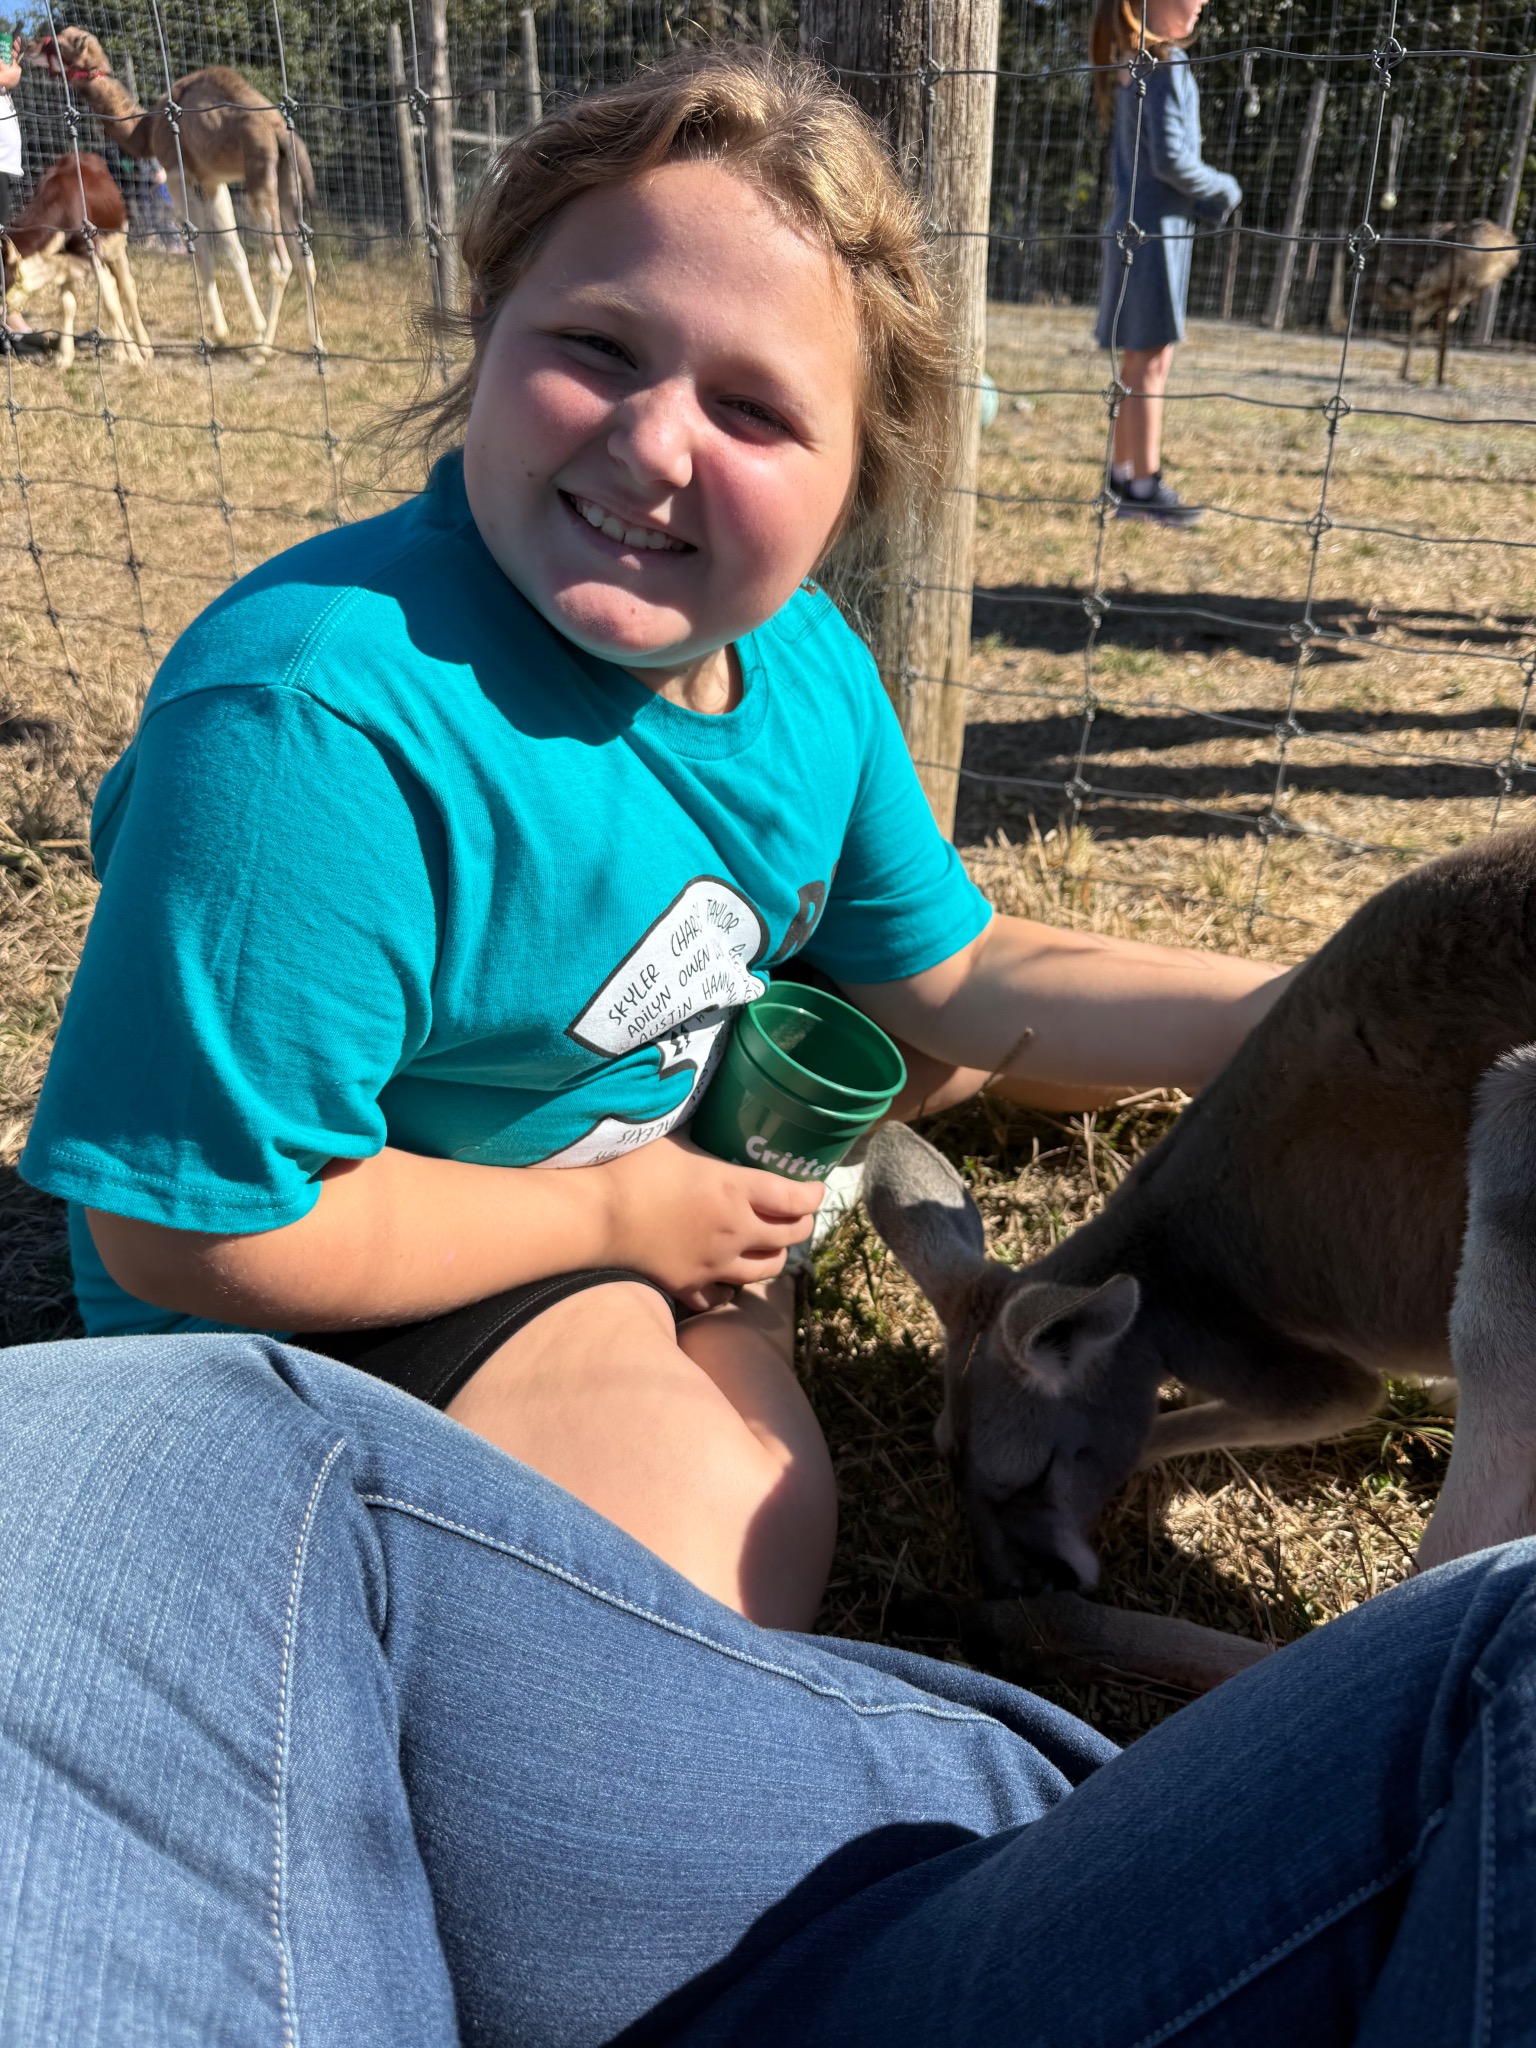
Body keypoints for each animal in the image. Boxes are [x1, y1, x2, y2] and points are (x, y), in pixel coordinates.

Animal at [1, 152, 152, 371]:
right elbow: (68, 305)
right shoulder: (65, 264)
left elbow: (112, 305)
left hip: (117, 248)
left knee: (127, 289)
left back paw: (145, 347)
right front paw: (65, 356)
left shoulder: (93, 255)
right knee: (113, 290)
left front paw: (134, 355)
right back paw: (118, 352)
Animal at [24, 27, 322, 360]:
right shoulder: (212, 181)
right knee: (305, 259)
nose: (29, 45)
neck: (144, 128)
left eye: (59, 42)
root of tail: (280, 131)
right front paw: (250, 328)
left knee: (281, 263)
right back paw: (317, 344)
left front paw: (221, 332)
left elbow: (202, 248)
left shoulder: (178, 174)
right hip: (287, 182)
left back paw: (262, 351)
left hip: (259, 179)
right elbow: (234, 250)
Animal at [864, 827, 1536, 1616]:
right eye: (947, 1457)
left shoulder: (1239, 1348)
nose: (1021, 1589)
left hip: (1515, 1110)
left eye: (1034, 1476)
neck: (1158, 1265)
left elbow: (1333, 1401)